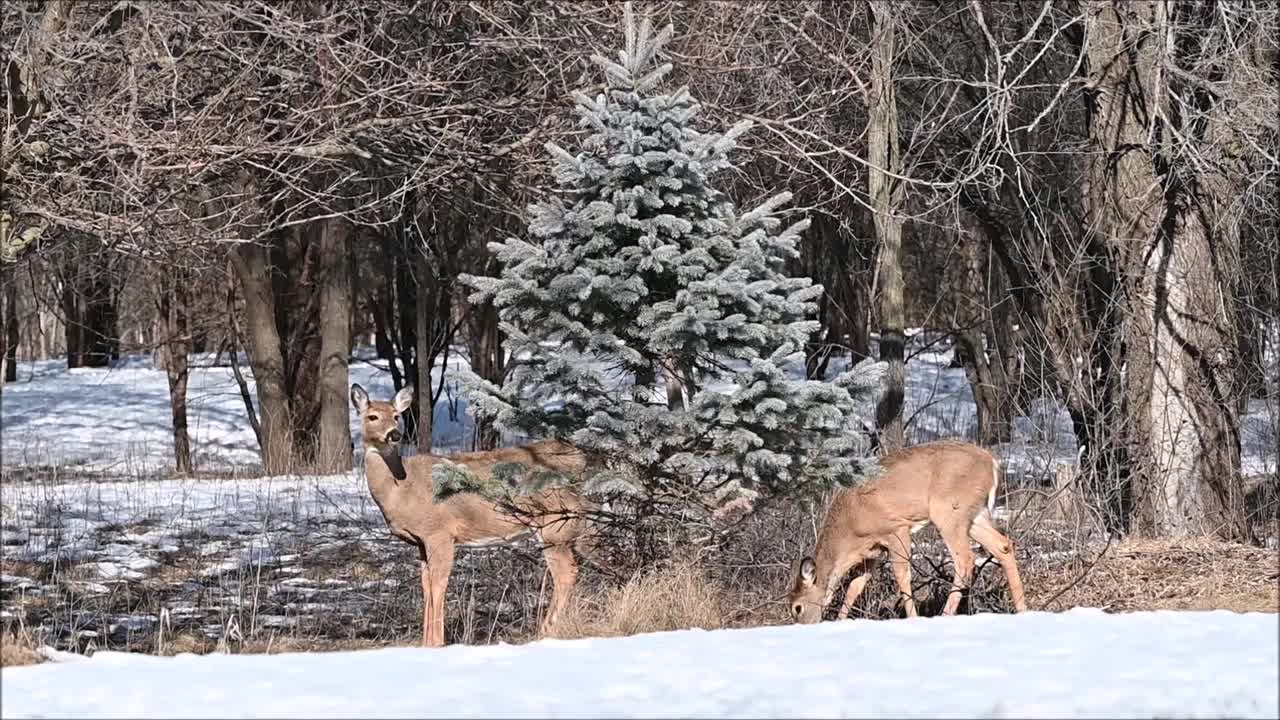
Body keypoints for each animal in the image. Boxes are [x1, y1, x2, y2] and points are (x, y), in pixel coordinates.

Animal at [348, 381, 591, 645]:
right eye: (372, 416)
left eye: (396, 416)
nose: (395, 434)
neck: (402, 488)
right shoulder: (421, 541)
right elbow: (425, 586)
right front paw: (425, 643)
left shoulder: (440, 532)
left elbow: (438, 584)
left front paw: (437, 642)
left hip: (555, 524)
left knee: (566, 573)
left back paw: (546, 631)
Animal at [788, 438, 1029, 622]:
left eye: (797, 608)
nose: (803, 626)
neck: (849, 529)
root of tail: (992, 463)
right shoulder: (872, 551)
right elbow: (854, 587)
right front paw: (840, 621)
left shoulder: (896, 528)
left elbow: (901, 576)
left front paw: (913, 618)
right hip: (974, 515)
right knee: (1003, 546)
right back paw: (1022, 609)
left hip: (948, 510)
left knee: (965, 559)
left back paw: (946, 614)